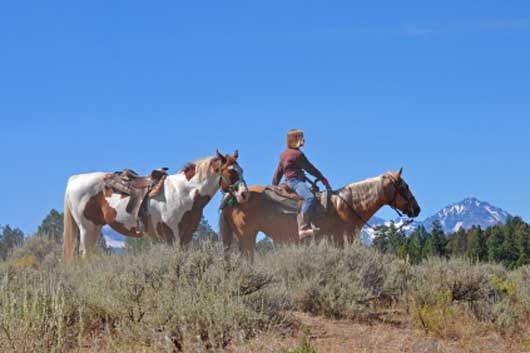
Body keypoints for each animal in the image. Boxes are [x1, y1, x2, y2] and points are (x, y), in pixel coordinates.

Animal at [63, 148, 249, 262]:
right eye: (231, 172)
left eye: (241, 170)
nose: (244, 194)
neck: (183, 192)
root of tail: (75, 179)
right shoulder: (172, 235)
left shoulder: (186, 236)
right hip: (86, 228)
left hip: (95, 227)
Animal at [218, 166, 416, 258]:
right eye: (404, 186)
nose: (417, 208)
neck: (346, 206)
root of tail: (233, 195)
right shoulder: (341, 241)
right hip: (246, 235)